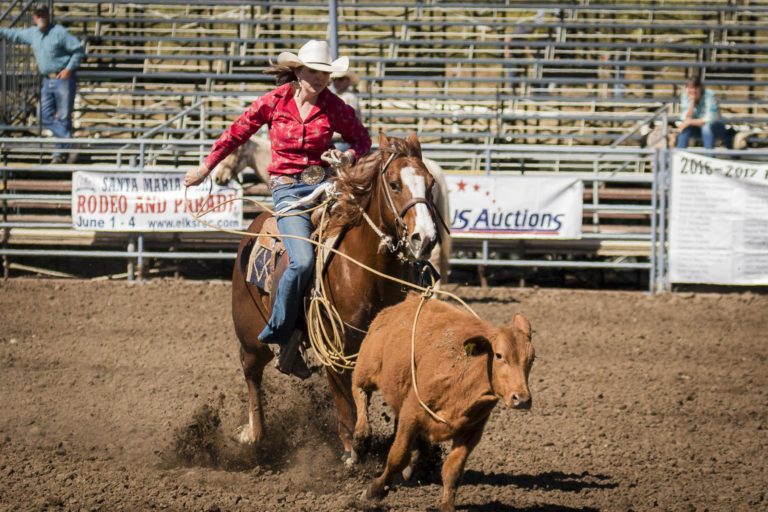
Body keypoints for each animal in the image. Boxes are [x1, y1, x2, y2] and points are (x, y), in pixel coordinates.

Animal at [231, 131, 440, 460]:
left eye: (430, 184)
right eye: (394, 184)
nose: (426, 238)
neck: (368, 271)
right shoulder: (335, 345)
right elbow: (346, 405)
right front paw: (353, 448)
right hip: (252, 337)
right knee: (251, 373)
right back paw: (255, 435)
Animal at [352, 294, 536, 510]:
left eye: (532, 359)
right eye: (499, 355)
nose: (521, 399)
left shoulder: (471, 431)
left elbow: (453, 470)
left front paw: (446, 504)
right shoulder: (411, 414)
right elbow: (397, 456)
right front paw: (374, 491)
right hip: (366, 368)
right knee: (360, 393)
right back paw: (360, 440)